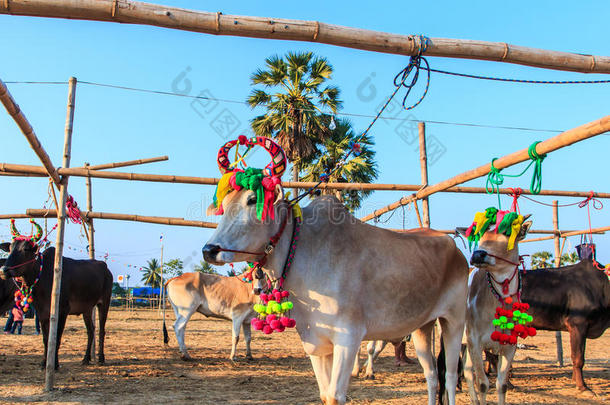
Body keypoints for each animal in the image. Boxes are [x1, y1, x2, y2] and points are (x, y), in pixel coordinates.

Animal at [0, 230, 112, 366]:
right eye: (10, 248)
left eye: (25, 249)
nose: (3, 270)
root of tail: (105, 268)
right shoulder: (41, 312)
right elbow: (46, 339)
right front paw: (44, 362)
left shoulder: (63, 310)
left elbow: (57, 338)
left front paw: (56, 364)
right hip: (87, 308)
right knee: (90, 331)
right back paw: (86, 358)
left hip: (104, 302)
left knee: (101, 330)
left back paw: (101, 358)